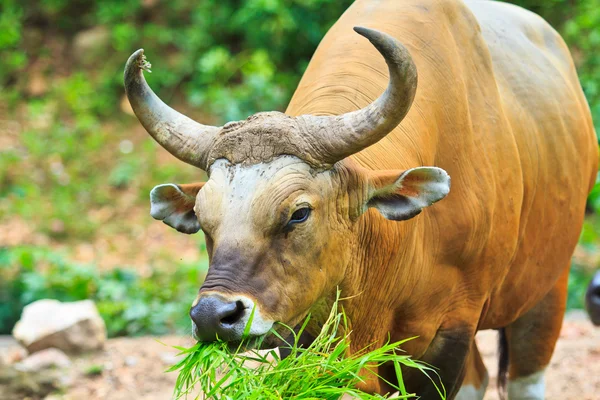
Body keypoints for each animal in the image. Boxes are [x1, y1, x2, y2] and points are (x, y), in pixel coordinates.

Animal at [124, 0, 596, 398]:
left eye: (298, 213)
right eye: (203, 219)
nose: (212, 316)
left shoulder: (451, 333)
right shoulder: (305, 337)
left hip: (547, 288)